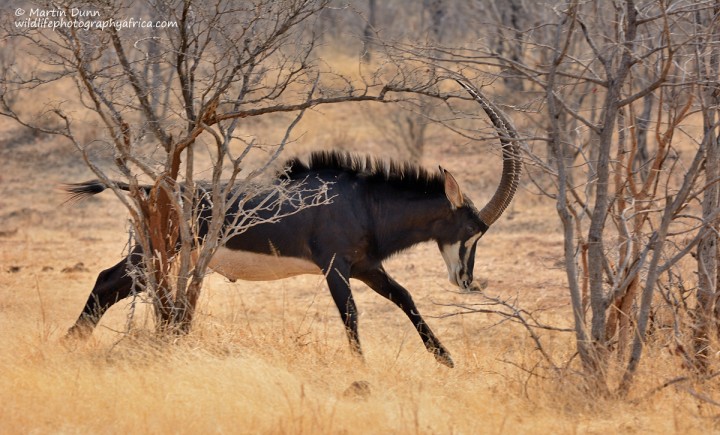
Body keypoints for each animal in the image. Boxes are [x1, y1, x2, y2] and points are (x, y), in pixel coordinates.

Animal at [66, 82, 516, 368]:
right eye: (472, 231)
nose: (467, 281)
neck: (365, 202)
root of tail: (152, 187)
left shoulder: (367, 267)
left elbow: (405, 297)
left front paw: (445, 358)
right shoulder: (335, 266)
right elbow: (351, 313)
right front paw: (362, 369)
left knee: (112, 285)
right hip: (159, 251)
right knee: (107, 280)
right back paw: (68, 341)